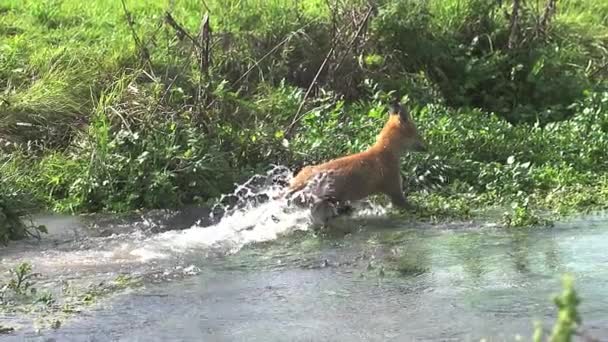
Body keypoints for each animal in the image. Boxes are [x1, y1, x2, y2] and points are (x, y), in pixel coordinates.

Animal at [284, 101, 428, 224]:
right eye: (418, 133)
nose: (427, 148)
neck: (385, 154)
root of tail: (295, 183)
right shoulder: (394, 190)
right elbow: (414, 206)